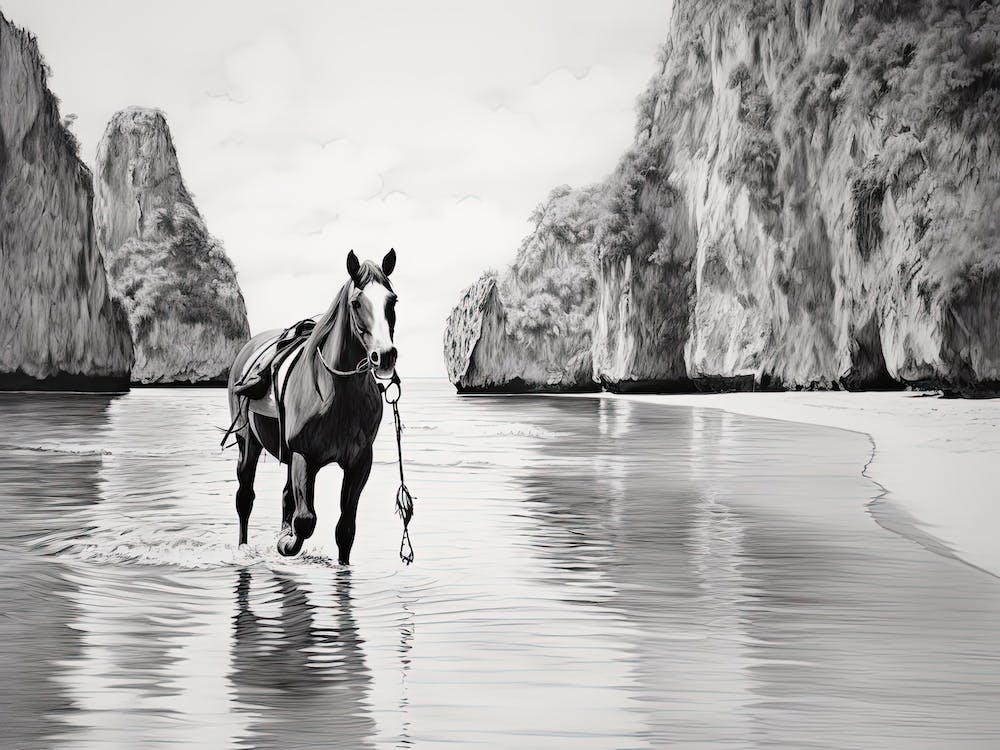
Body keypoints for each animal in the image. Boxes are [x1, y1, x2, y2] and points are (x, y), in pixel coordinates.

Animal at [226, 249, 398, 564]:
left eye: (392, 301)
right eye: (356, 303)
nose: (385, 356)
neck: (336, 393)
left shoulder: (359, 463)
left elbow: (346, 528)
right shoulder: (304, 456)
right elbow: (305, 520)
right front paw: (286, 543)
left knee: (285, 496)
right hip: (248, 442)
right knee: (245, 497)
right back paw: (244, 547)